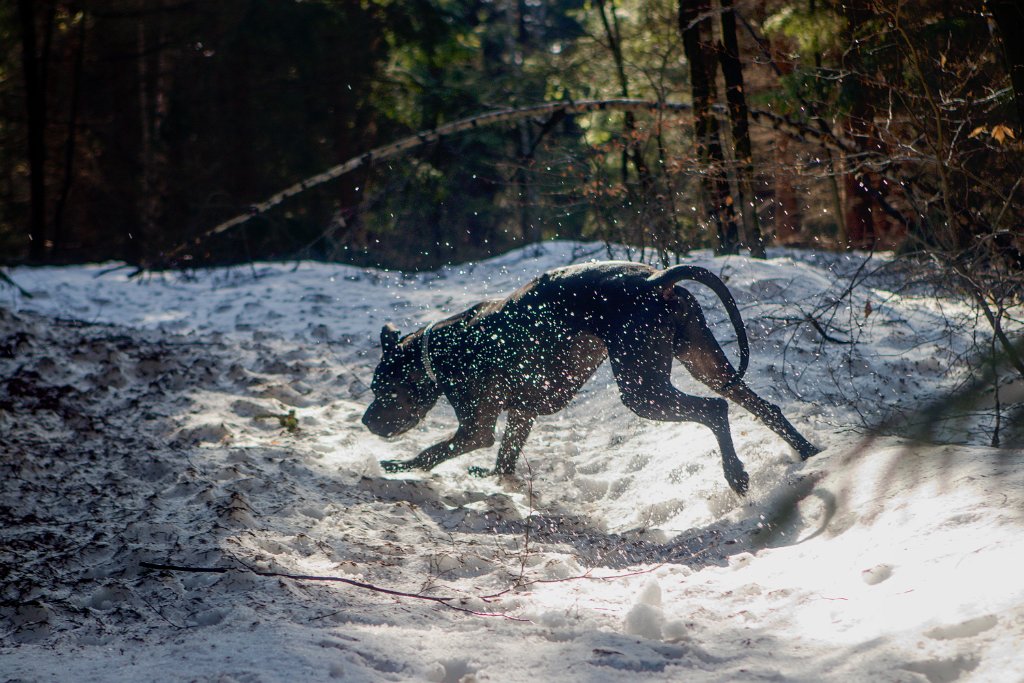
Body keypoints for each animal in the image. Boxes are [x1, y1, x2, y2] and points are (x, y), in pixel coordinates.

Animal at [364, 260, 819, 491]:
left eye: (382, 389)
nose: (366, 420)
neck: (436, 350)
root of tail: (656, 279)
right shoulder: (522, 413)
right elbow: (507, 453)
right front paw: (495, 477)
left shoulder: (474, 428)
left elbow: (432, 452)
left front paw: (400, 466)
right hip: (705, 362)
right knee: (762, 406)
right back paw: (807, 451)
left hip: (643, 391)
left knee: (714, 409)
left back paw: (735, 474)